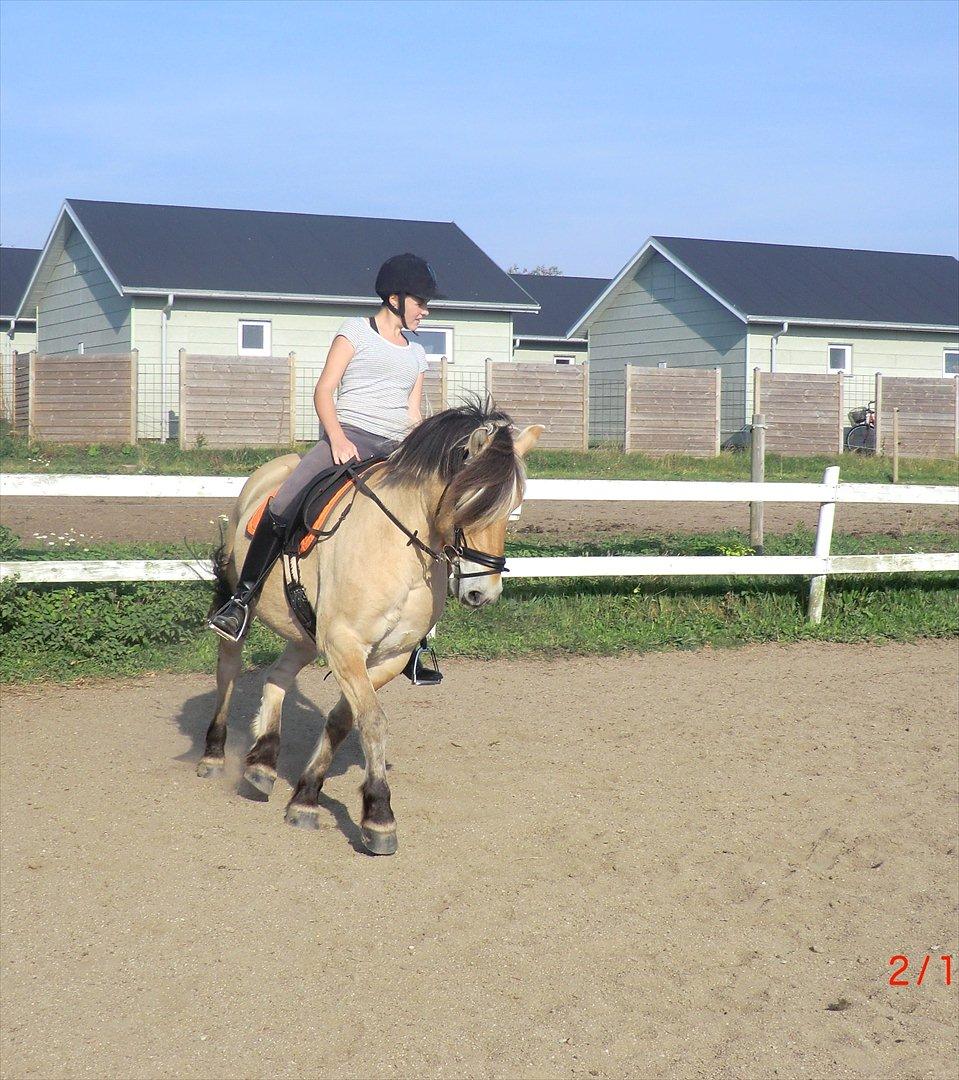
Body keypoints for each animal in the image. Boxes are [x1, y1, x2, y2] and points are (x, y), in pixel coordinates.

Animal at [196, 401, 539, 855]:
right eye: (470, 500)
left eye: (514, 505)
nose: (483, 592)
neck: (400, 547)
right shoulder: (345, 644)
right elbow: (373, 721)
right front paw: (379, 817)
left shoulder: (388, 656)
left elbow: (345, 720)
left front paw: (306, 797)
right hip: (243, 599)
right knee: (229, 669)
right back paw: (214, 754)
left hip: (305, 631)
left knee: (278, 676)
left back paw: (262, 764)